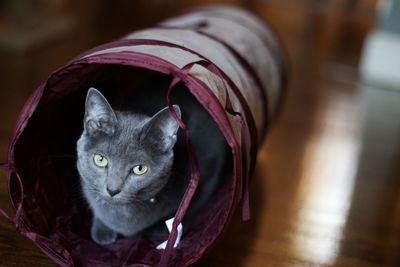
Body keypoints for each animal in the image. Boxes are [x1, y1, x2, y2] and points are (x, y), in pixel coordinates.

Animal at [76, 76, 230, 247]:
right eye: (100, 159)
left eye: (140, 169)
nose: (112, 190)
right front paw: (102, 231)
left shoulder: (207, 175)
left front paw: (160, 229)